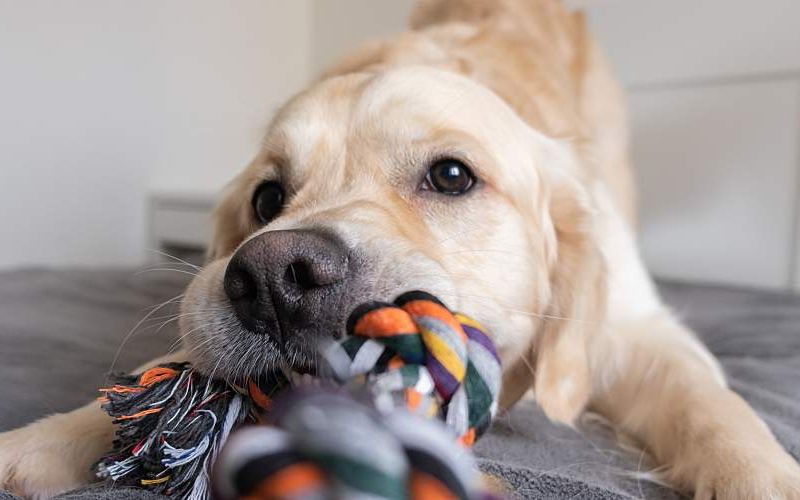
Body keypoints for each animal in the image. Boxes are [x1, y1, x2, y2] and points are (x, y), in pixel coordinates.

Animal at [1, 0, 800, 498]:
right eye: (266, 198)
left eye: (451, 175)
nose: (272, 278)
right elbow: (159, 373)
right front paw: (43, 441)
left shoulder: (634, 328)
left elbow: (711, 403)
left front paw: (765, 475)